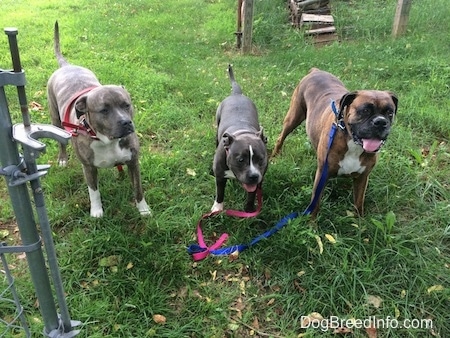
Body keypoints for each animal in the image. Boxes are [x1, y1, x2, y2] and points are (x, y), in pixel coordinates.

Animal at [270, 68, 398, 217]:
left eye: (390, 113)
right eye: (365, 110)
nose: (380, 122)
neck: (352, 143)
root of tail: (315, 70)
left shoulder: (362, 178)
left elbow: (359, 202)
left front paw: (359, 221)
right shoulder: (322, 175)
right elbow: (315, 204)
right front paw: (312, 223)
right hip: (293, 117)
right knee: (281, 137)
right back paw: (275, 156)